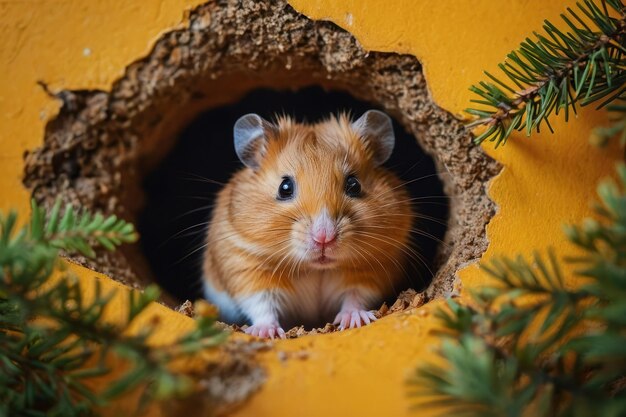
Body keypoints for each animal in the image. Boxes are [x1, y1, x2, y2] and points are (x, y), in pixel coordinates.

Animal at [202, 109, 412, 336]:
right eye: (284, 187)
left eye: (354, 185)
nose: (324, 238)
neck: (314, 268)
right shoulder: (245, 266)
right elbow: (262, 303)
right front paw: (264, 333)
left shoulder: (373, 268)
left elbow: (355, 295)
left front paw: (355, 320)